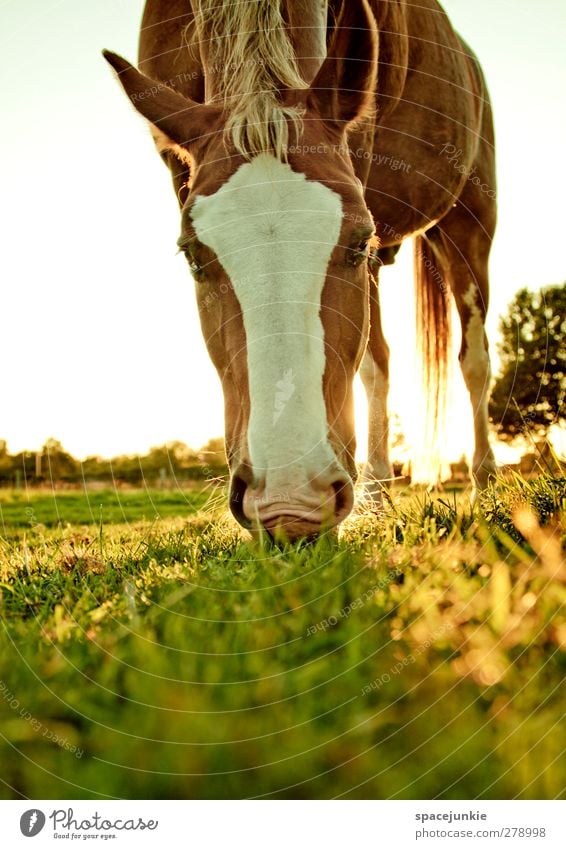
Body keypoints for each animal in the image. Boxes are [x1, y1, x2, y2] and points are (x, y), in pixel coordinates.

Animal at [104, 0, 500, 540]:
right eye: (192, 256)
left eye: (358, 242)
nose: (290, 509)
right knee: (378, 362)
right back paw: (377, 494)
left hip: (469, 222)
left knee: (473, 358)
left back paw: (484, 487)